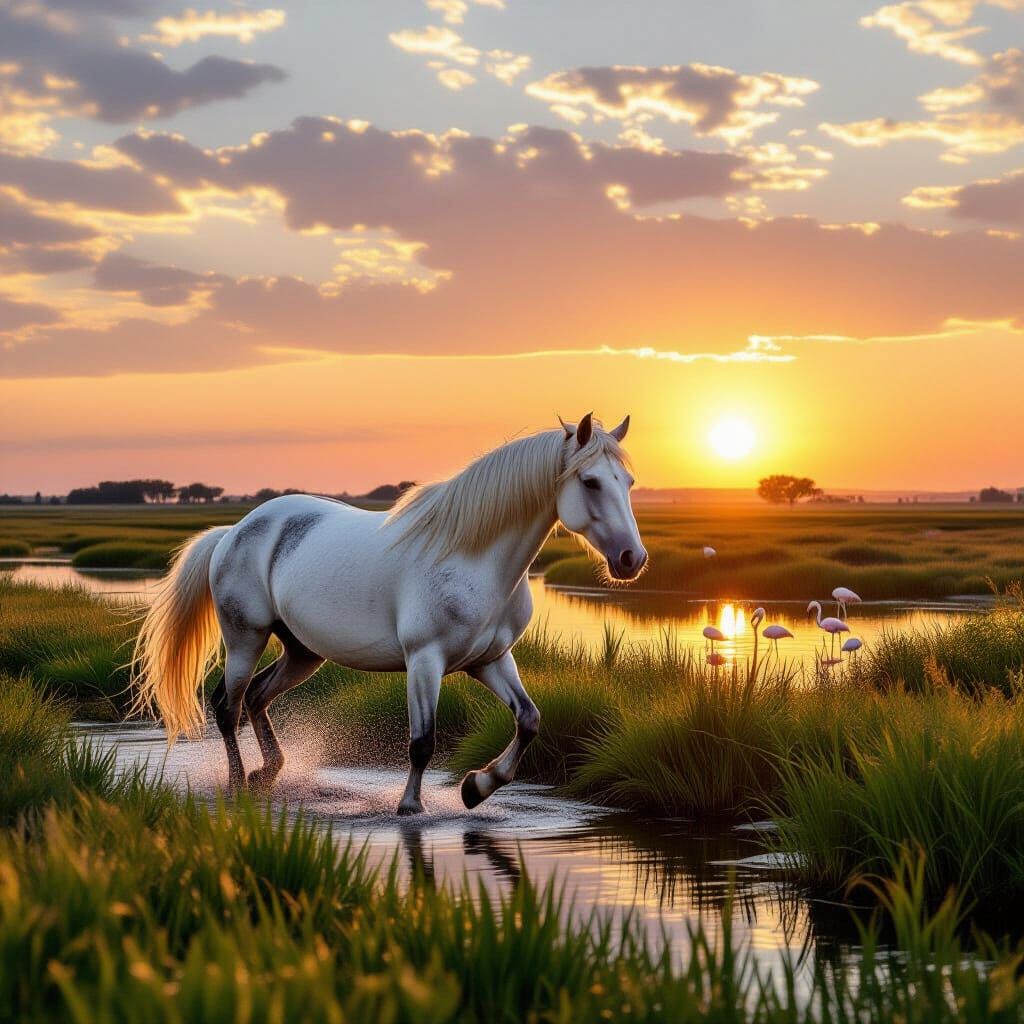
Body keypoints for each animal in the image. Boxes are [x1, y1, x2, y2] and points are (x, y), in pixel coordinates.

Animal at [131, 412, 647, 815]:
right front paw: (411, 806)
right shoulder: (425, 661)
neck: (473, 558)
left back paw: (268, 774)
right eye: (590, 481)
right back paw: (239, 783)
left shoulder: (490, 660)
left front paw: (476, 787)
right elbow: (422, 742)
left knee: (257, 698)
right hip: (246, 638)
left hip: (302, 652)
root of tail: (234, 530)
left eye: (628, 482)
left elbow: (529, 720)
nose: (631, 559)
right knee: (228, 707)